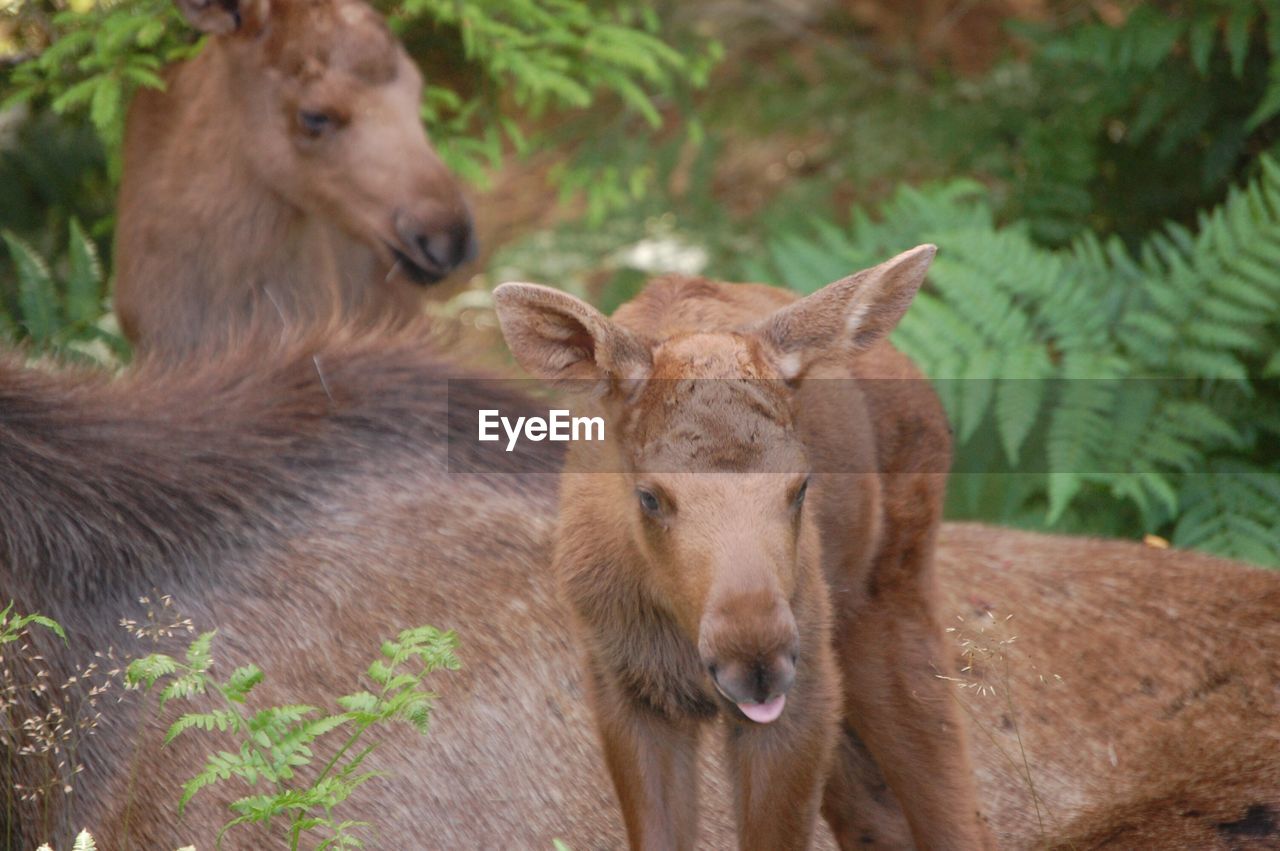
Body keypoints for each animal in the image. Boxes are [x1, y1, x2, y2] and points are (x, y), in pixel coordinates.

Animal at [491, 245, 988, 849]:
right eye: (649, 496)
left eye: (801, 484)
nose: (755, 661)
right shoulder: (623, 688)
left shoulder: (806, 688)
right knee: (881, 816)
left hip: (890, 598)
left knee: (953, 803)